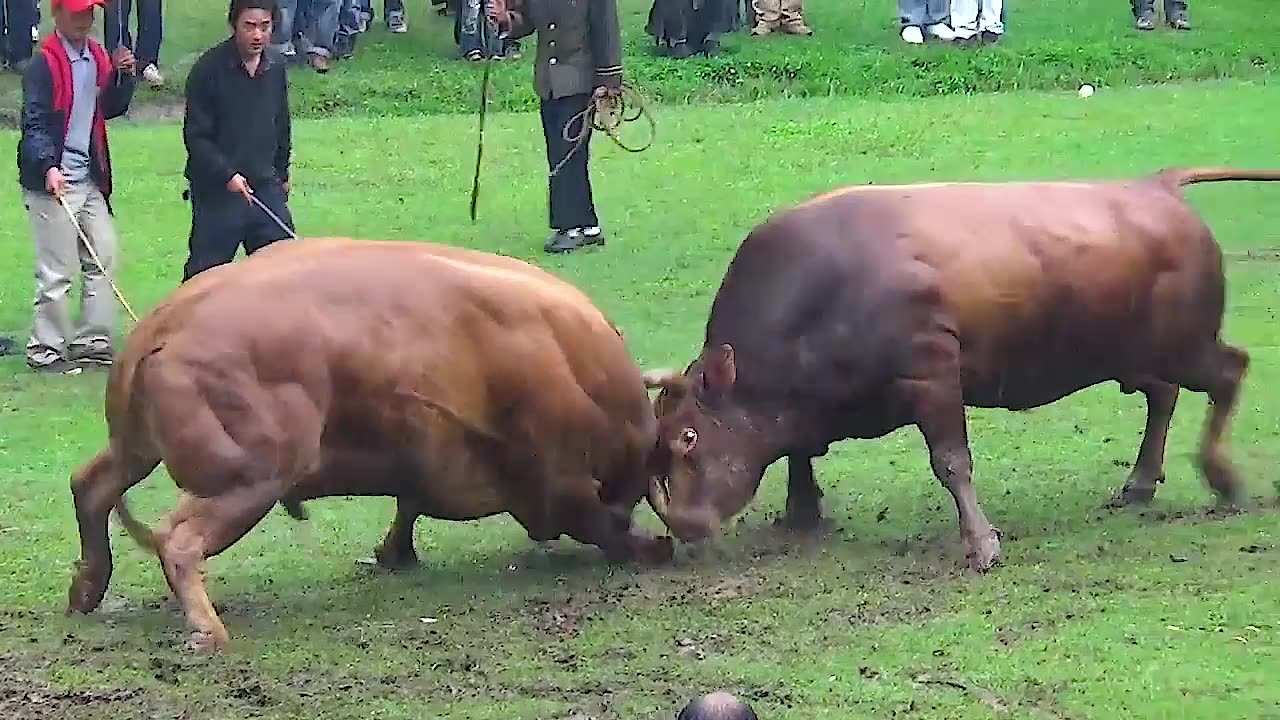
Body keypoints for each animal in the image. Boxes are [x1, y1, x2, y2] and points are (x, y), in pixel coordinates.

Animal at [70, 237, 675, 650]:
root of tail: (159, 328)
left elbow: (408, 505)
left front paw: (393, 554)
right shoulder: (557, 480)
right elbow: (597, 523)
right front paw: (650, 547)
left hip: (135, 447)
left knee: (90, 486)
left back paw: (87, 590)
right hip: (251, 472)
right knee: (178, 539)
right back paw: (207, 630)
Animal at [645, 165, 1280, 568]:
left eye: (689, 436)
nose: (685, 524)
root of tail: (1154, 185)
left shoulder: (931, 373)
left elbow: (951, 462)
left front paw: (981, 544)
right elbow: (799, 450)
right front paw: (801, 512)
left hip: (1184, 344)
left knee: (1228, 371)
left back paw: (1222, 480)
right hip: (1129, 352)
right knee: (1163, 394)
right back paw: (1141, 483)